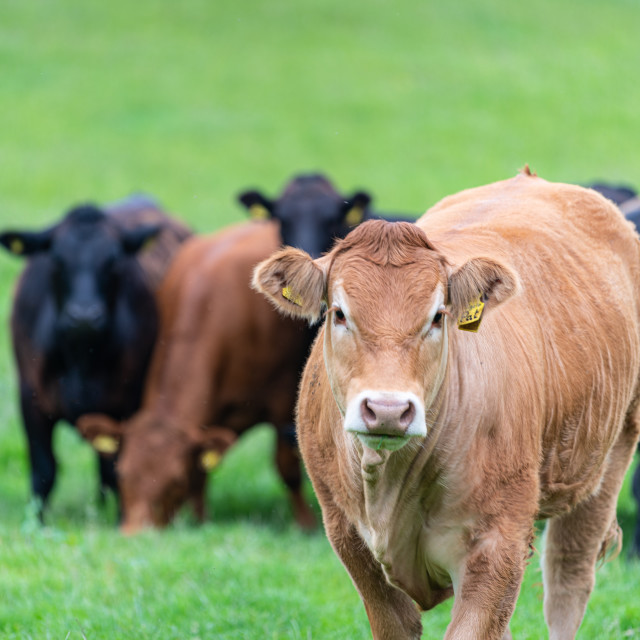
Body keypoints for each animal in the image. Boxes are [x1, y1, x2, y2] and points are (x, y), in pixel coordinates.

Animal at [0, 201, 188, 520]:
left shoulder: (128, 403)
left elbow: (119, 467)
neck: (81, 359)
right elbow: (43, 469)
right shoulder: (30, 399)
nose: (84, 316)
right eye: (57, 258)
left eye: (113, 260)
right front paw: (37, 522)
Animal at [77, 222, 316, 532]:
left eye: (175, 481)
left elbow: (288, 467)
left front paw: (306, 524)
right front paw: (201, 522)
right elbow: (200, 476)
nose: (134, 534)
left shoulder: (282, 402)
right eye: (122, 475)